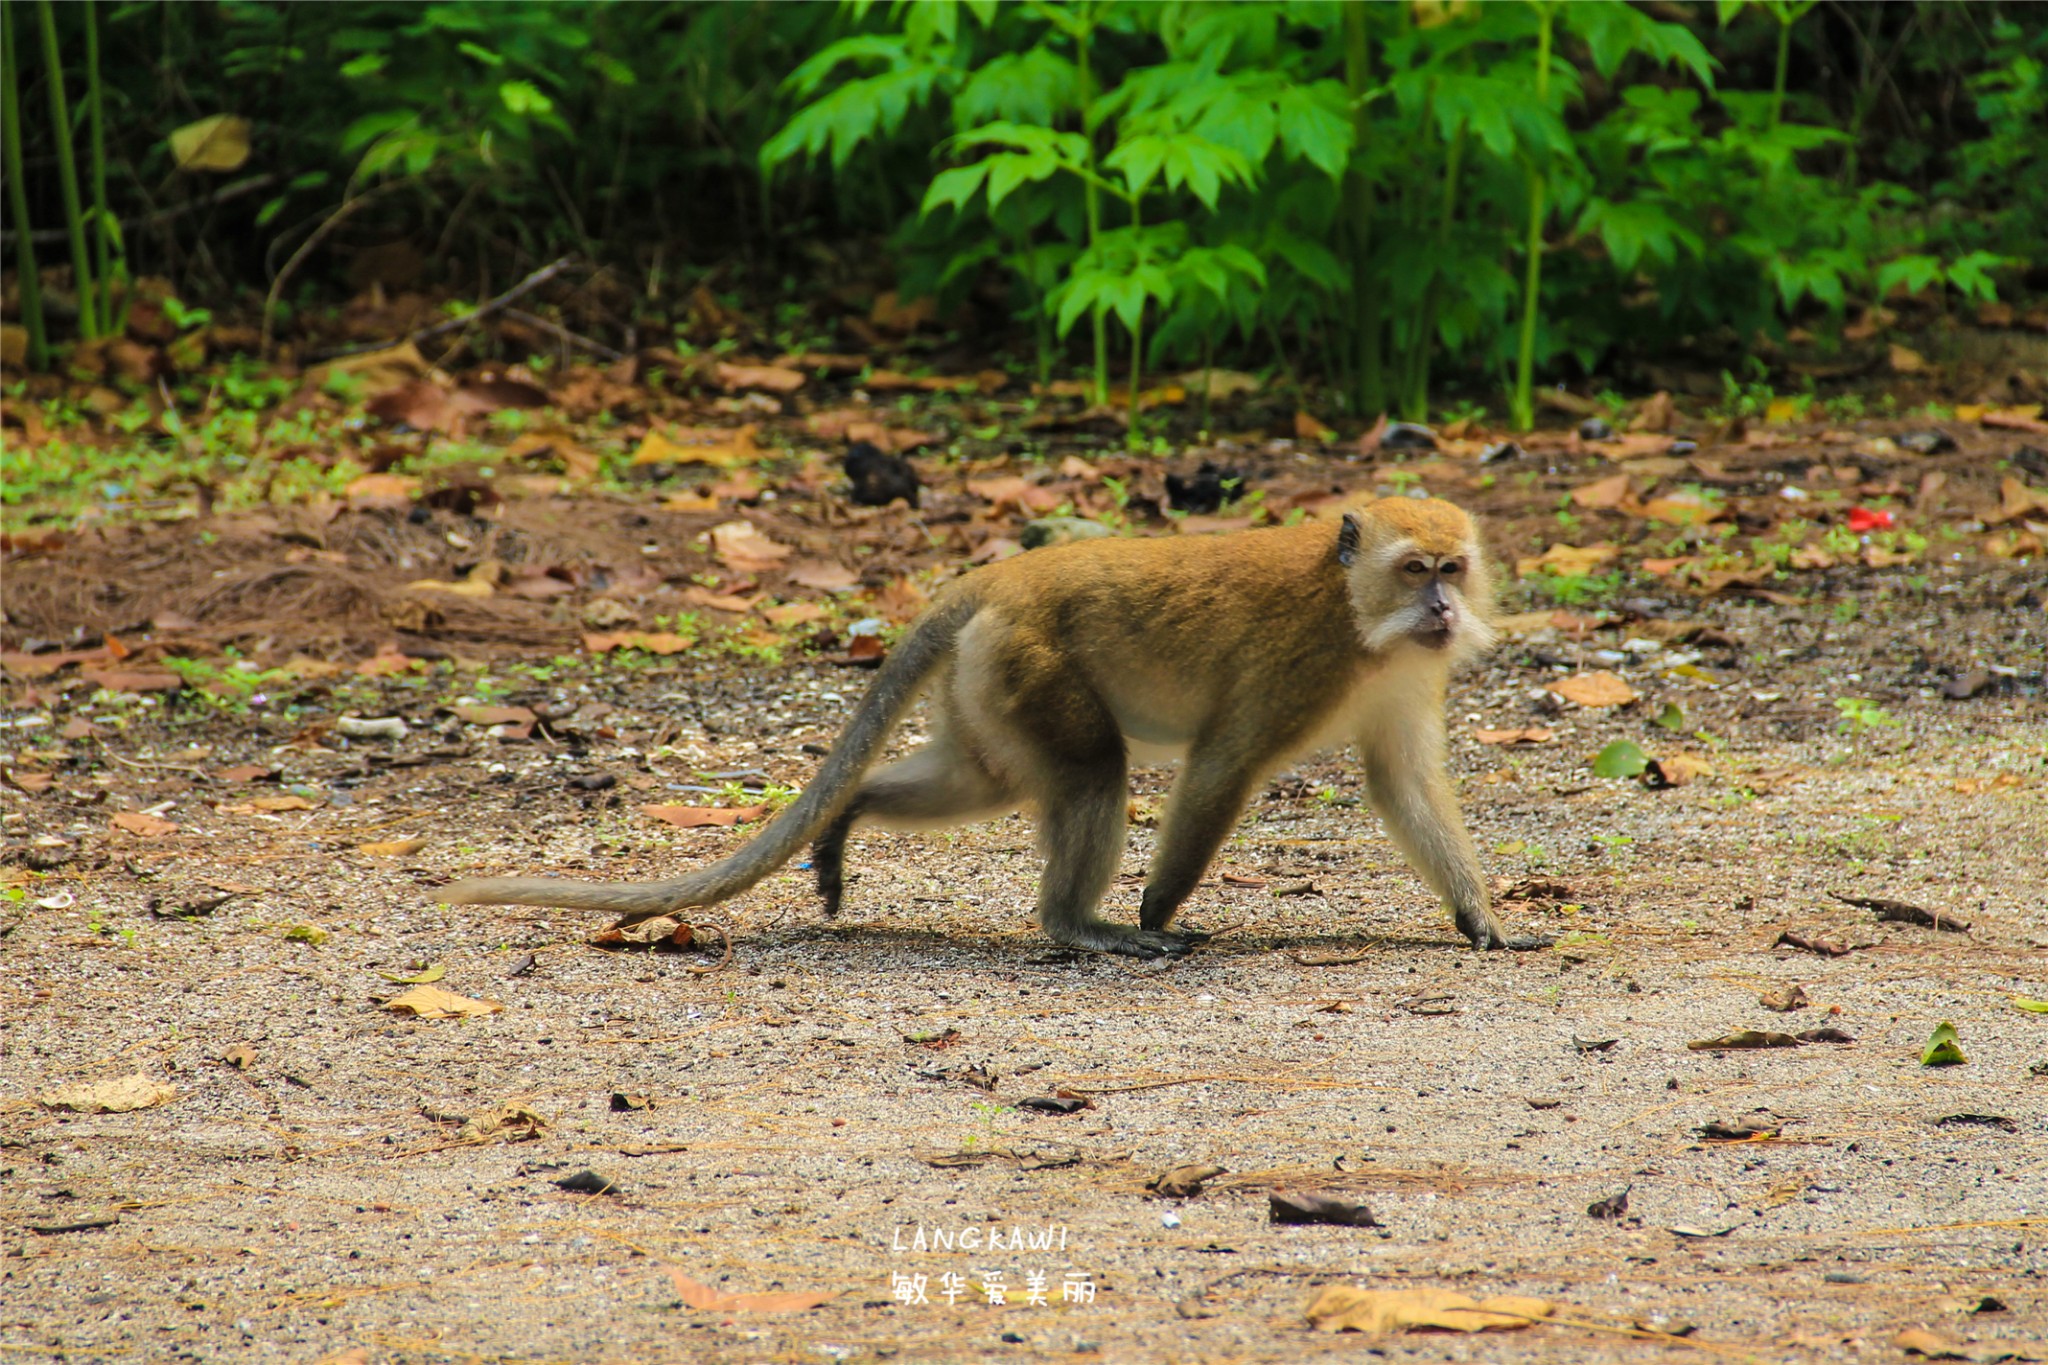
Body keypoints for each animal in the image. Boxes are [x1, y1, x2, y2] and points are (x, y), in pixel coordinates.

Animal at [448, 497, 1540, 957]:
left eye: (1452, 567)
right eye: (1414, 568)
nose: (1442, 611)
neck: (1356, 611)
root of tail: (997, 579)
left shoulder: (1399, 678)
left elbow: (1400, 781)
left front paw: (1480, 917)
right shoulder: (1300, 664)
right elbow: (1223, 762)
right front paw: (1157, 909)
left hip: (989, 679)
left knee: (990, 779)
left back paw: (847, 821)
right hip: (1031, 664)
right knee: (1092, 770)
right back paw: (1078, 927)